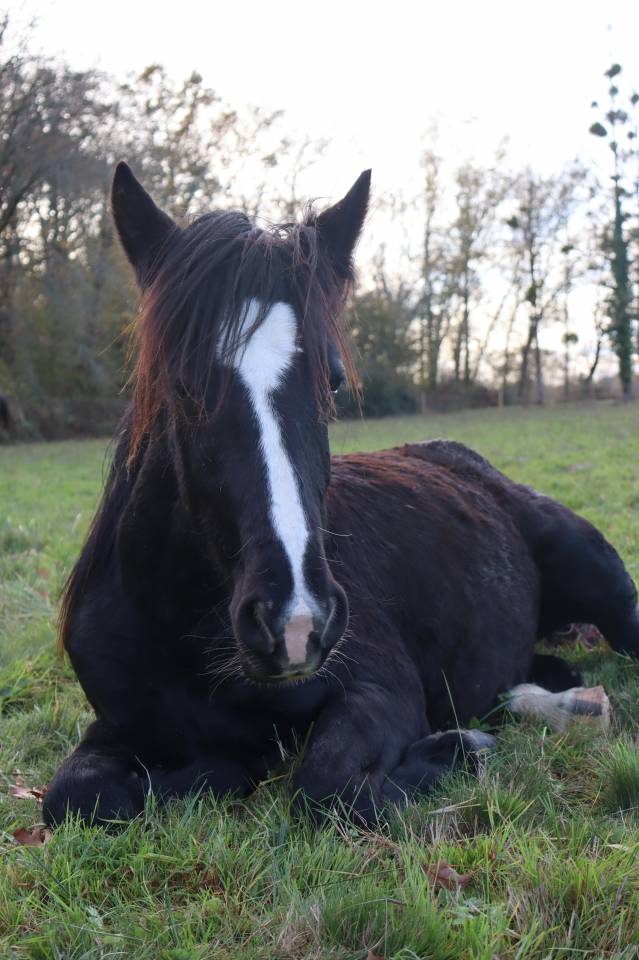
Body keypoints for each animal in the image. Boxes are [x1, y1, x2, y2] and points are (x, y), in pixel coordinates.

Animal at [43, 163, 639, 827]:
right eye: (183, 386)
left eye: (330, 381)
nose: (295, 622)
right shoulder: (118, 728)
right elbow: (78, 796)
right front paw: (219, 769)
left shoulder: (380, 690)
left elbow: (325, 785)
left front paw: (458, 747)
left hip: (606, 587)